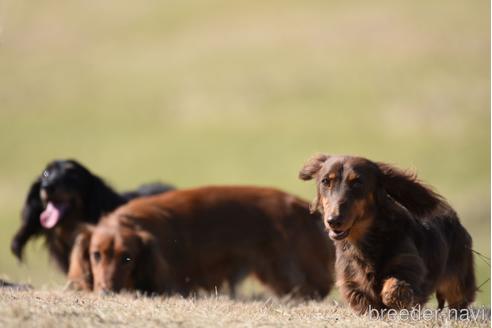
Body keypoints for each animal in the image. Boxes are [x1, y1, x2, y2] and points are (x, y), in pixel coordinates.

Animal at [298, 155, 474, 314]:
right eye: (325, 181)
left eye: (357, 182)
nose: (333, 221)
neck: (366, 241)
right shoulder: (350, 280)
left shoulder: (410, 266)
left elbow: (395, 284)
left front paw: (394, 297)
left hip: (458, 282)